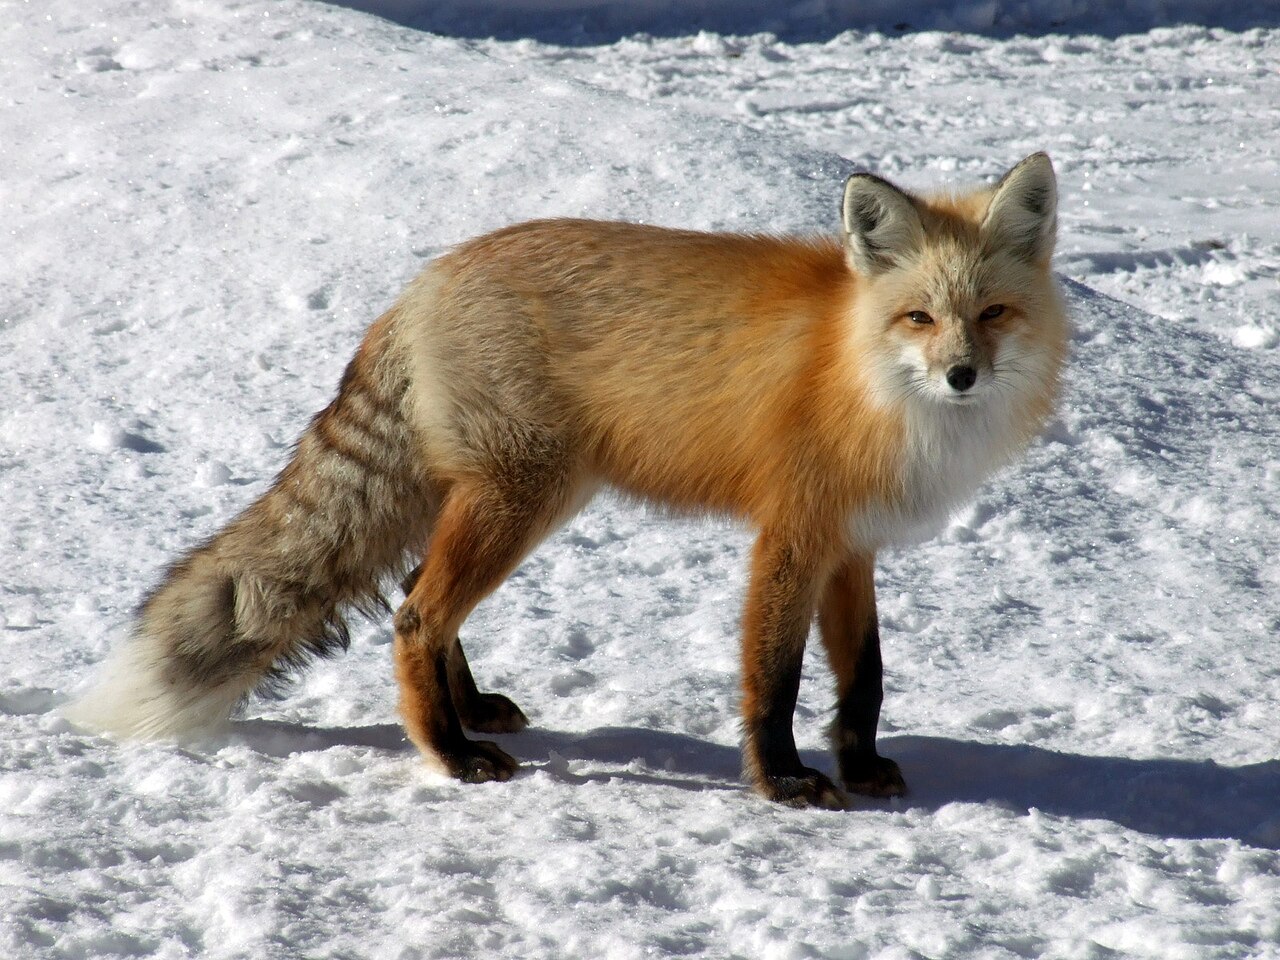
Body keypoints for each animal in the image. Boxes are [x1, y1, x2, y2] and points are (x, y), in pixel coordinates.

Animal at [66, 153, 1069, 809]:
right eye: (919, 318)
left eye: (991, 314)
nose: (961, 376)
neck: (860, 376)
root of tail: (422, 282)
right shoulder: (790, 536)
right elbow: (774, 678)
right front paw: (782, 780)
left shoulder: (851, 543)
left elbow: (864, 678)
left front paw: (860, 769)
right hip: (525, 496)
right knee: (415, 613)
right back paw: (450, 752)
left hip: (508, 497)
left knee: (418, 594)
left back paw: (468, 710)